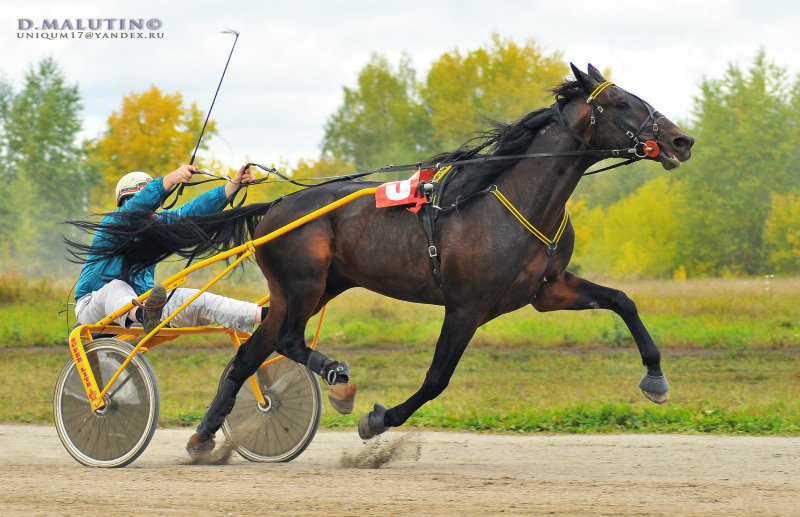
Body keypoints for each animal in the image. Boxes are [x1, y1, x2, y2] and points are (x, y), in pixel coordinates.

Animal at [70, 63, 692, 452]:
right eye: (621, 103)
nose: (681, 141)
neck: (509, 199)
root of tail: (279, 207)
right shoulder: (465, 307)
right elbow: (437, 379)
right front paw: (377, 420)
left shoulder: (547, 291)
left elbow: (622, 300)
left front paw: (656, 378)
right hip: (303, 283)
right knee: (285, 340)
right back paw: (335, 379)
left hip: (308, 288)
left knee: (252, 350)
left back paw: (205, 436)